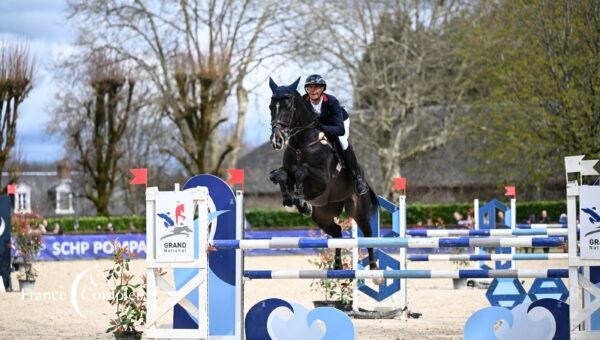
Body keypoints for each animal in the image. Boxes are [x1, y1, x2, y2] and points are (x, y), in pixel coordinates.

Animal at [268, 77, 380, 274]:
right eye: (270, 107)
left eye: (288, 107)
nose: (277, 140)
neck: (301, 144)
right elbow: (280, 174)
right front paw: (290, 199)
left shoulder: (321, 180)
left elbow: (301, 172)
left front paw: (299, 199)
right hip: (322, 214)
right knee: (337, 231)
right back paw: (337, 264)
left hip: (358, 210)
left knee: (368, 233)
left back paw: (373, 268)